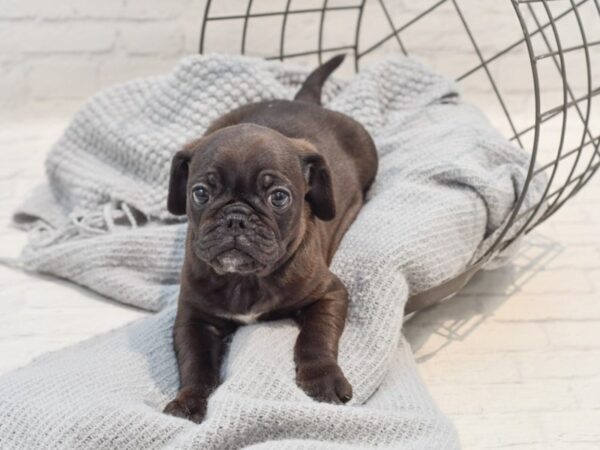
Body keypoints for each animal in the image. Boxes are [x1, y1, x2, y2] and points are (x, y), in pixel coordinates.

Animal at [164, 55, 378, 422]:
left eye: (278, 197)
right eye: (200, 193)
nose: (236, 218)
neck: (245, 279)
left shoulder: (330, 294)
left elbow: (315, 338)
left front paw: (323, 379)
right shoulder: (194, 317)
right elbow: (196, 364)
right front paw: (189, 401)